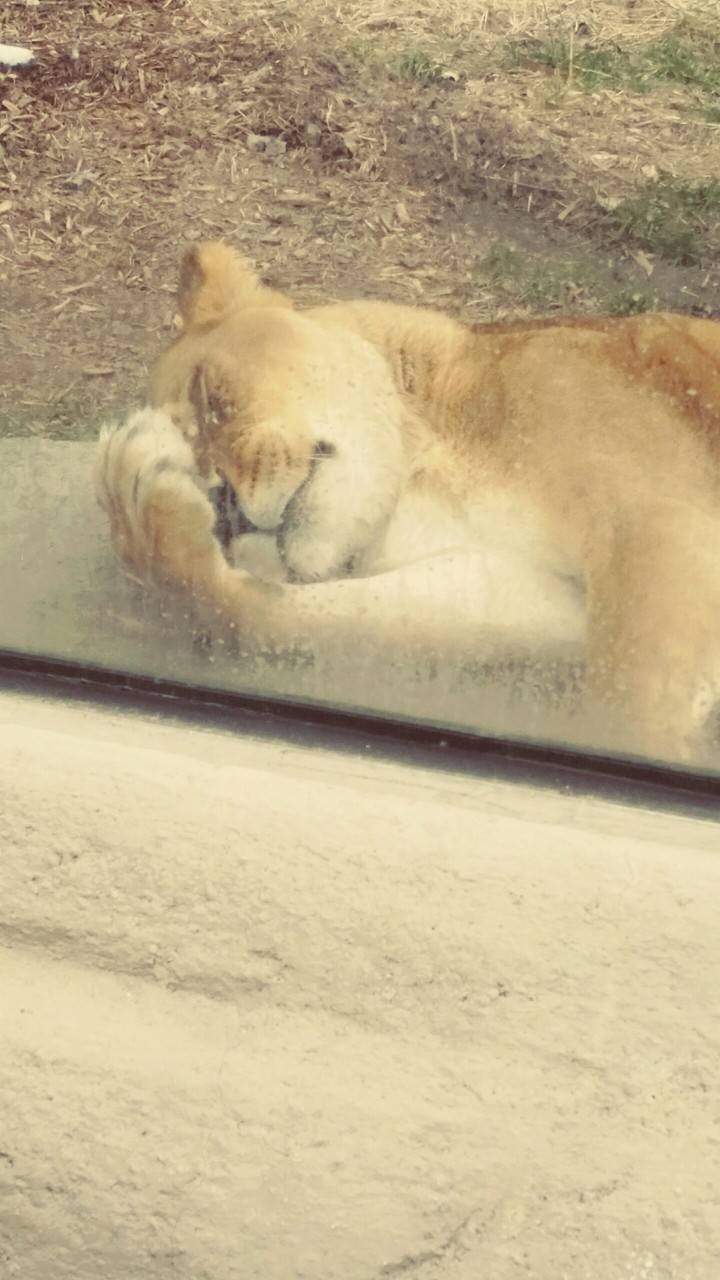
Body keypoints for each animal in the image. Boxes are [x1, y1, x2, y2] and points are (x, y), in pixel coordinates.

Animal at [96, 241, 720, 763]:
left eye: (207, 394)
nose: (222, 509)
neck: (423, 460)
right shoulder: (533, 592)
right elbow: (269, 613)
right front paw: (138, 505)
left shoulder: (653, 519)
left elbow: (625, 714)